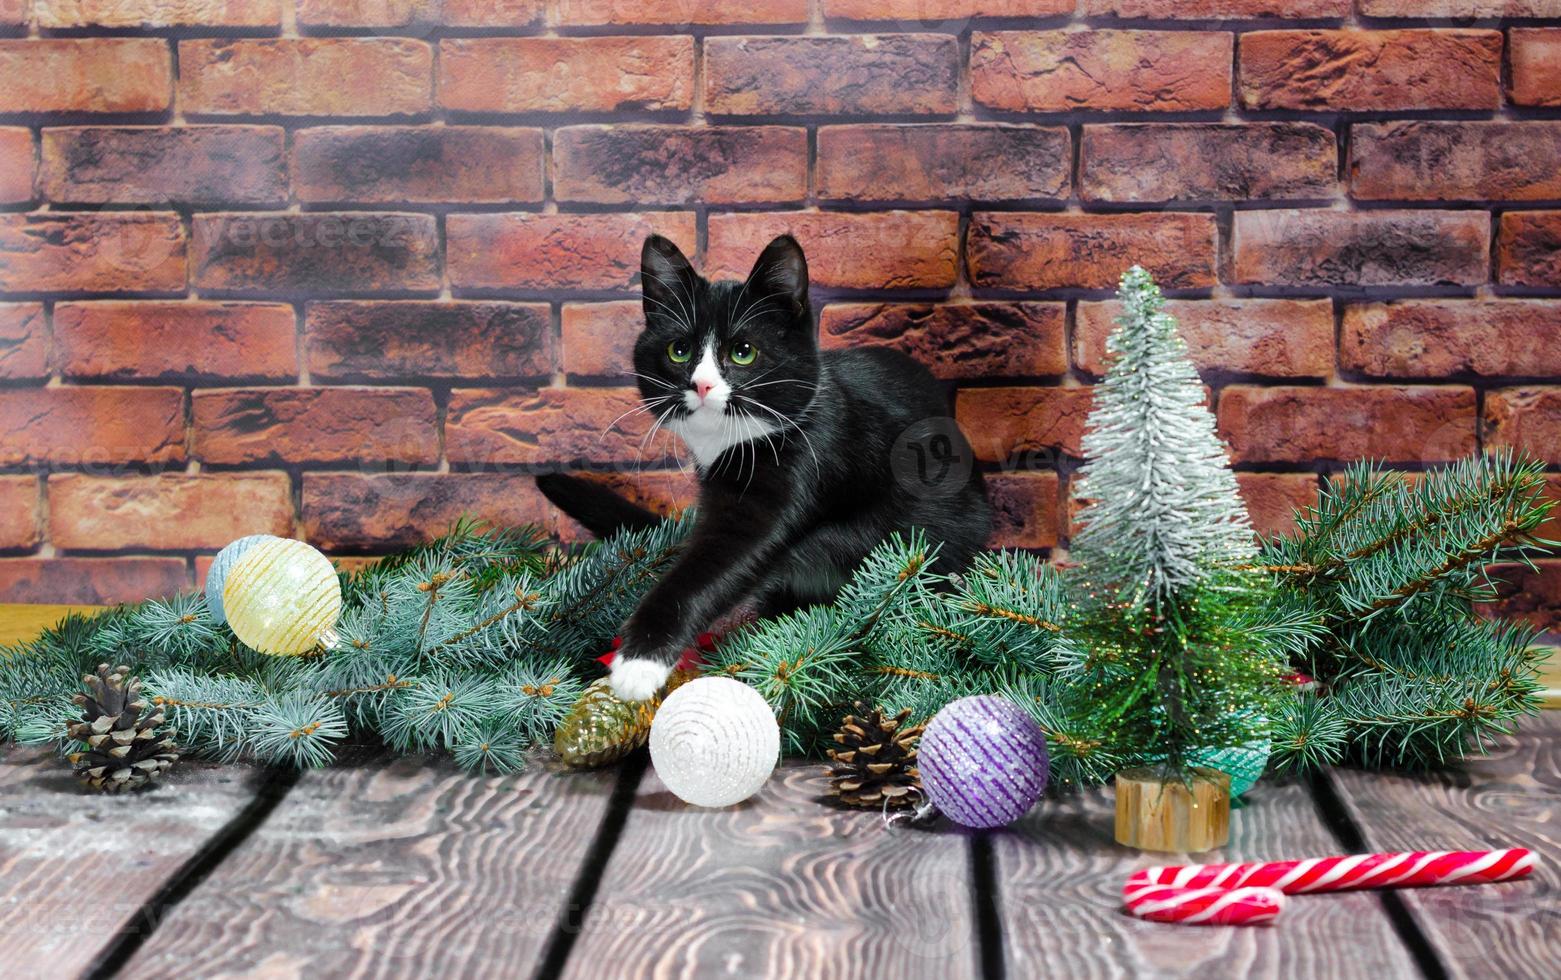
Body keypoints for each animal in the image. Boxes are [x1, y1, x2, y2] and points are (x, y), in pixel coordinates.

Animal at [536, 234, 986, 699]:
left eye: (743, 352)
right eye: (679, 351)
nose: (702, 384)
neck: (734, 444)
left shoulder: (806, 468)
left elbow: (721, 563)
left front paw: (638, 661)